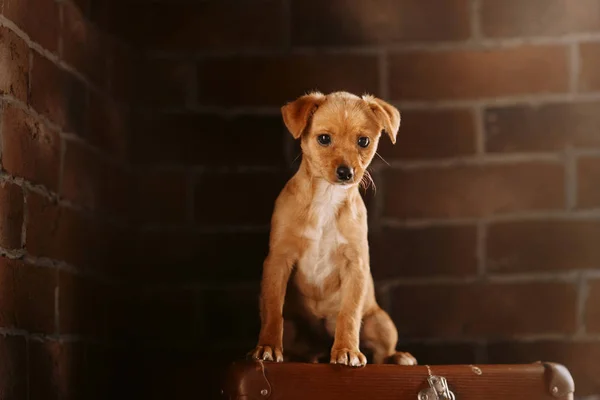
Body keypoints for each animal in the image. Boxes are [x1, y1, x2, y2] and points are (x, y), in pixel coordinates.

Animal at [250, 90, 418, 366]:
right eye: (324, 139)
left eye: (363, 141)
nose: (346, 172)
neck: (327, 198)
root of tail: (318, 348)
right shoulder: (278, 260)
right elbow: (273, 311)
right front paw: (268, 347)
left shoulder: (355, 265)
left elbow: (348, 315)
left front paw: (347, 350)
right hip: (295, 327)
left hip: (381, 322)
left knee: (381, 354)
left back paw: (399, 357)